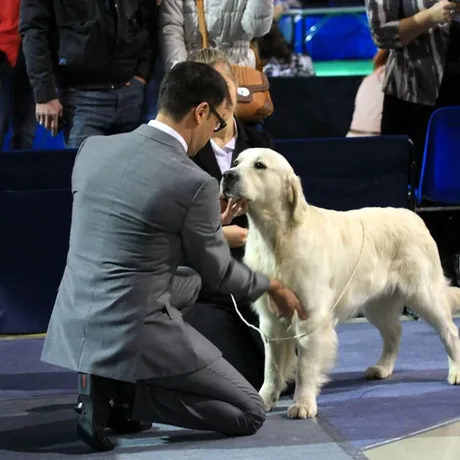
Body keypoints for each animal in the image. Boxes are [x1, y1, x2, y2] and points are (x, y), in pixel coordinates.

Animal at [219, 148, 460, 420]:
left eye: (259, 165)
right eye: (237, 162)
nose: (227, 175)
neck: (278, 238)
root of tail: (413, 215)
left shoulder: (310, 318)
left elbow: (305, 367)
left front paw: (303, 404)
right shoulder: (270, 321)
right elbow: (271, 368)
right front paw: (264, 400)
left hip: (423, 294)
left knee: (450, 331)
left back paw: (455, 371)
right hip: (377, 305)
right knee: (395, 333)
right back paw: (382, 367)